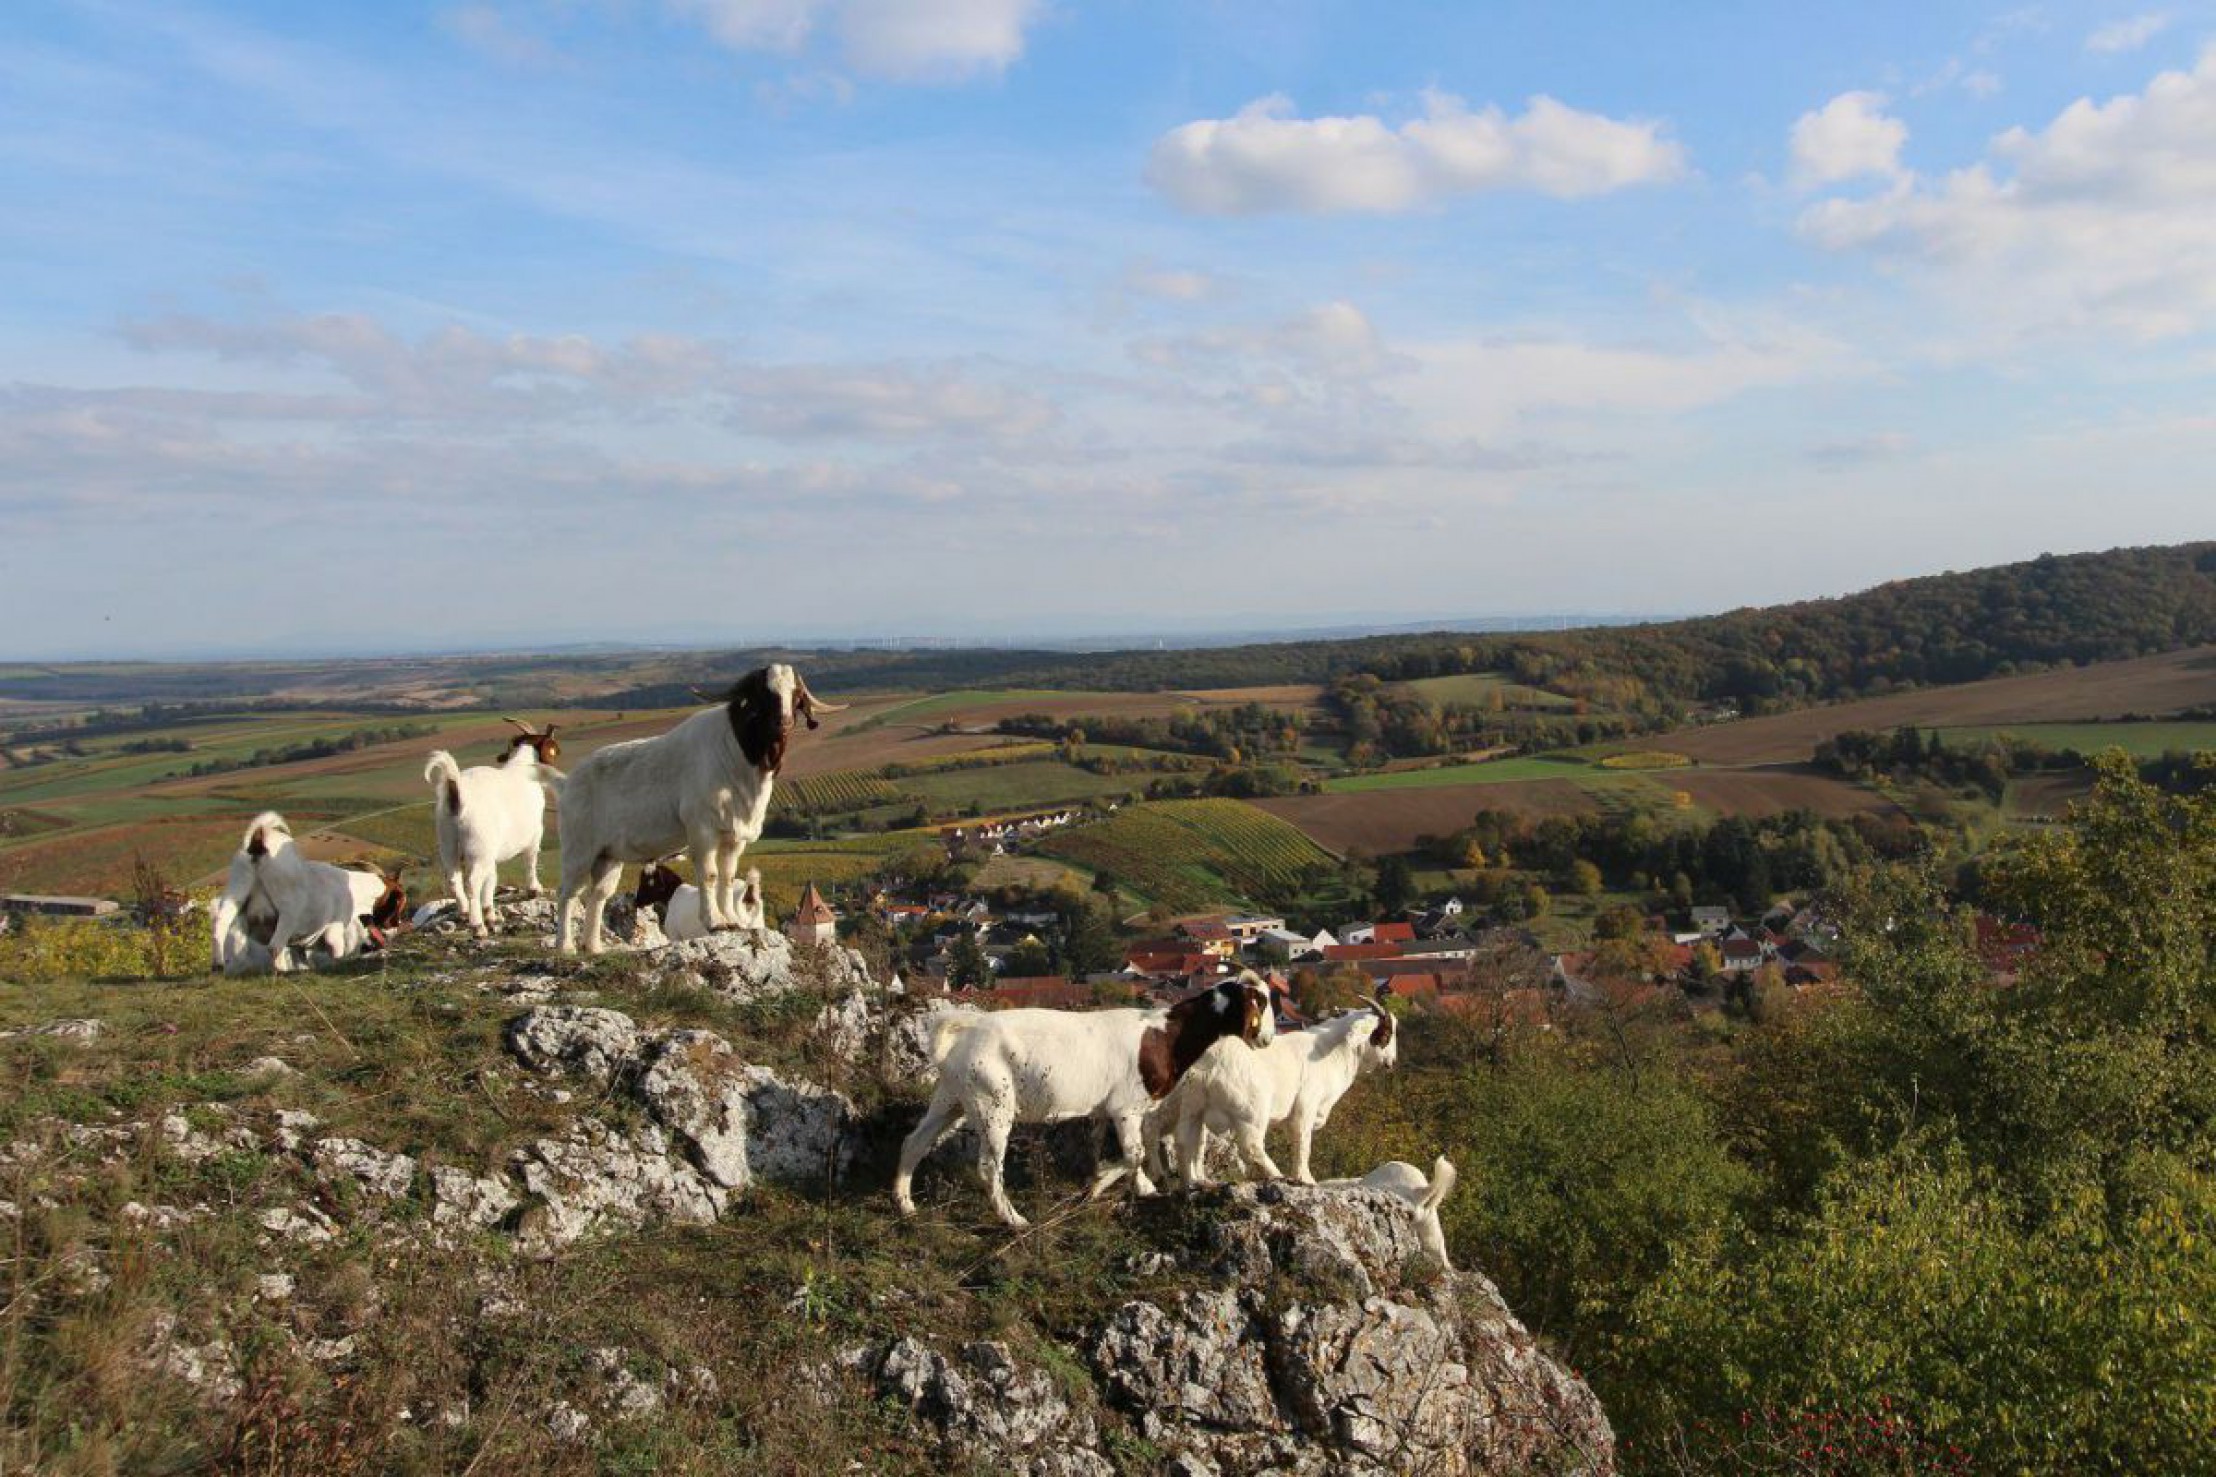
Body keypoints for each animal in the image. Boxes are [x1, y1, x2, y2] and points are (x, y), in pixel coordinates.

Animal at [423, 720, 562, 938]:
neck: (522, 767)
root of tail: (458, 795)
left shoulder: (490, 854)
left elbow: (491, 880)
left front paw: (491, 913)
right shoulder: (534, 835)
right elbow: (530, 862)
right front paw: (534, 889)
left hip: (448, 842)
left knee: (454, 878)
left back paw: (464, 911)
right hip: (478, 846)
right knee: (472, 883)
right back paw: (477, 926)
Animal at [554, 665, 843, 954]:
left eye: (796, 696)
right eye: (763, 693)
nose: (784, 722)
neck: (739, 753)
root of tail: (568, 782)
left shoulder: (734, 836)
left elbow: (727, 876)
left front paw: (733, 920)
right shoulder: (702, 829)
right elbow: (710, 874)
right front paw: (715, 922)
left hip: (609, 856)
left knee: (598, 895)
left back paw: (594, 947)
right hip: (579, 848)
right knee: (568, 893)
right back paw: (565, 946)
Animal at [894, 971, 1276, 1229]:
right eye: (1260, 1002)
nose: (1268, 1039)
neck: (1166, 1037)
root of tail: (969, 1028)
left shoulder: (1104, 1111)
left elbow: (1107, 1148)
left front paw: (1134, 1185)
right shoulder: (1126, 1107)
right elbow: (1133, 1153)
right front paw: (1100, 1185)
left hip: (952, 1097)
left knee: (915, 1141)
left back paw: (905, 1204)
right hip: (992, 1103)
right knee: (988, 1166)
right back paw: (1014, 1218)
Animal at [1155, 996, 1398, 1188]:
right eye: (1385, 1033)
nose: (1391, 1062)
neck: (1331, 1051)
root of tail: (1206, 1061)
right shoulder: (1306, 1106)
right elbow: (1302, 1142)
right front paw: (1305, 1179)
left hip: (1192, 1105)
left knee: (1184, 1140)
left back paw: (1191, 1183)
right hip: (1251, 1110)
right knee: (1251, 1146)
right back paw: (1278, 1176)